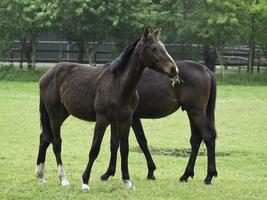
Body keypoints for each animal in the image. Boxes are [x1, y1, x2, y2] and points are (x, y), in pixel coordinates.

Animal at [34, 27, 179, 191]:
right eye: (154, 48)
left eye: (164, 47)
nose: (174, 69)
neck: (119, 84)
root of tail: (46, 75)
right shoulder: (102, 120)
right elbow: (94, 150)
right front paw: (85, 181)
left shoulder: (126, 119)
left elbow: (124, 148)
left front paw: (127, 181)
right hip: (55, 115)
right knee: (56, 142)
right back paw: (63, 179)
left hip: (62, 113)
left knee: (45, 138)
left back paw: (41, 177)